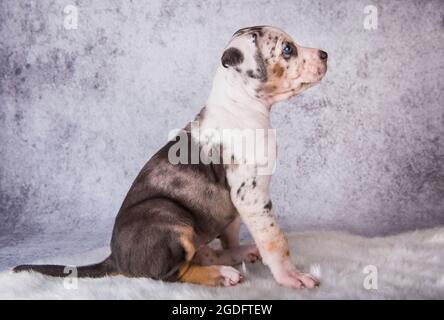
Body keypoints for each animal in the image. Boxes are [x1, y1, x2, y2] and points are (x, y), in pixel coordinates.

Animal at [13, 26, 326, 288]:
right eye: (288, 49)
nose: (325, 54)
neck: (241, 104)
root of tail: (115, 258)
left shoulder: (237, 203)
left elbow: (231, 236)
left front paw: (242, 251)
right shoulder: (251, 196)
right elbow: (275, 240)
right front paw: (290, 276)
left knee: (204, 253)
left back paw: (237, 255)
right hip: (169, 217)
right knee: (172, 272)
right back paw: (221, 275)